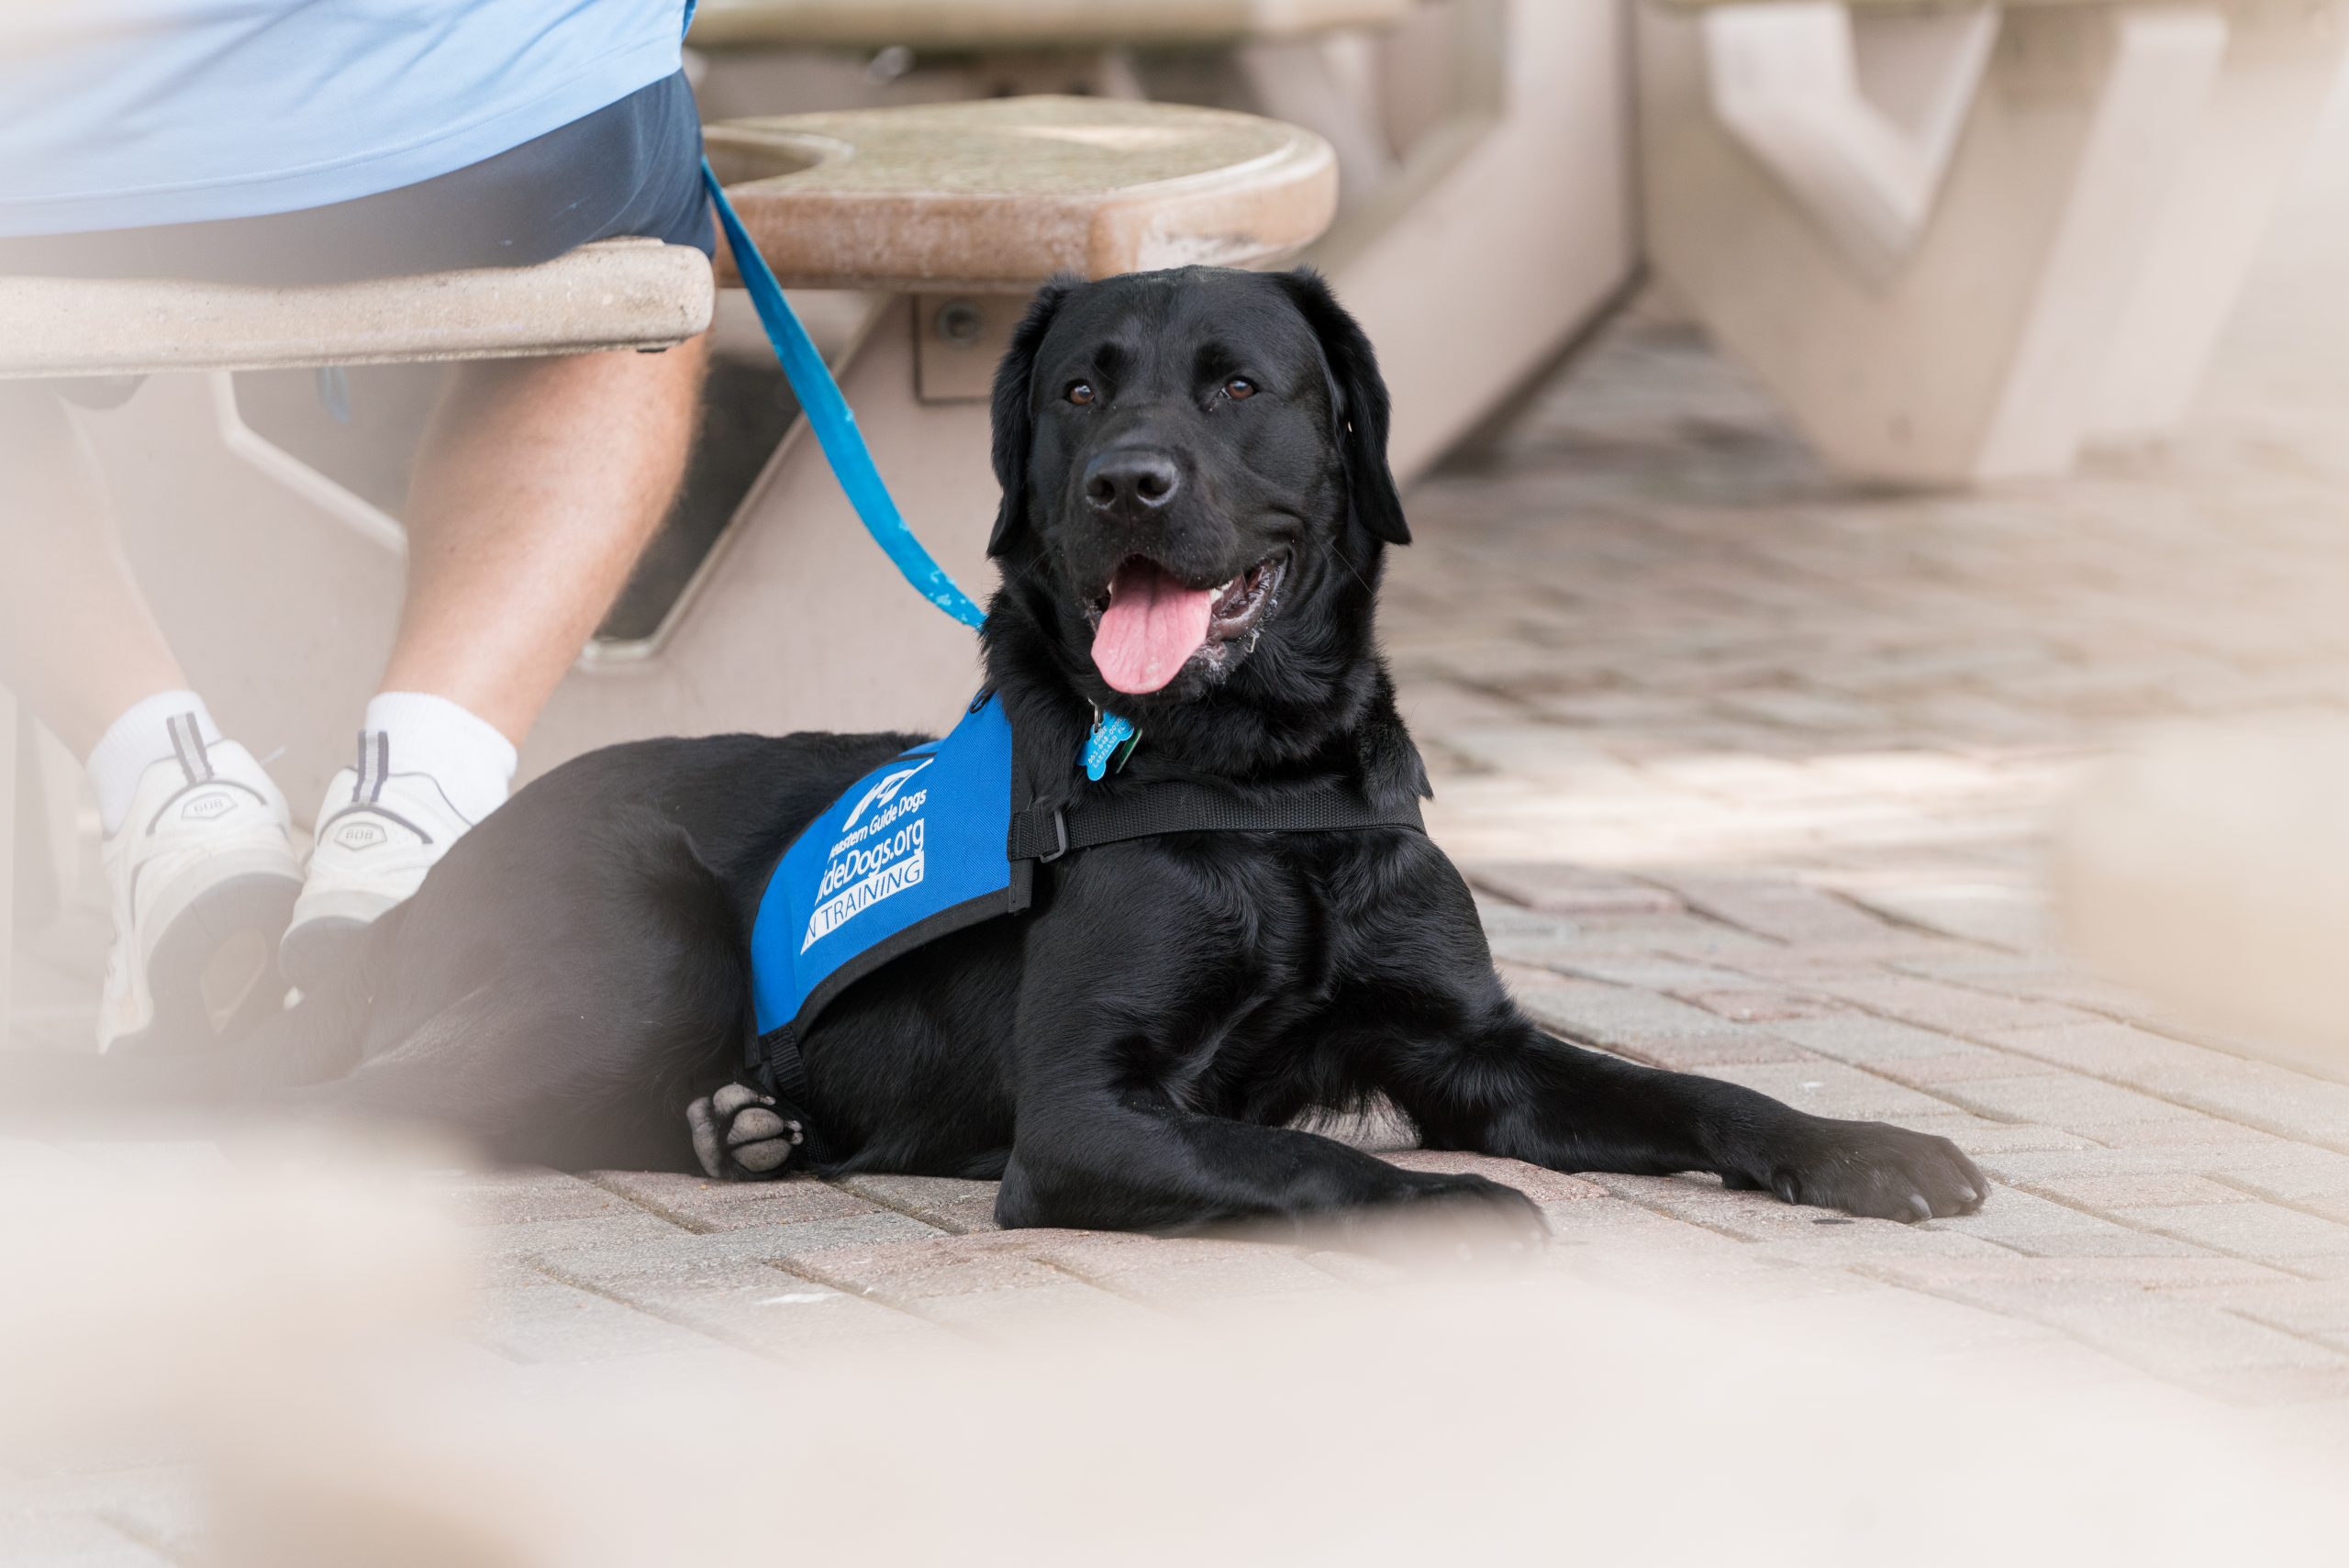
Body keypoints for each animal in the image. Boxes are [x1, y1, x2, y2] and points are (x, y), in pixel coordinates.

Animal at [32, 270, 1982, 1239]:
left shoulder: (1472, 1047)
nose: (1125, 482)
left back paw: (746, 1126)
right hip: (625, 957)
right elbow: (1390, 1180)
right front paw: (1467, 1214)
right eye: (1075, 388)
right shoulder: (1094, 1110)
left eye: (1239, 384)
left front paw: (1871, 1145)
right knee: (321, 1115)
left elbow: (1694, 1091)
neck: (1256, 777)